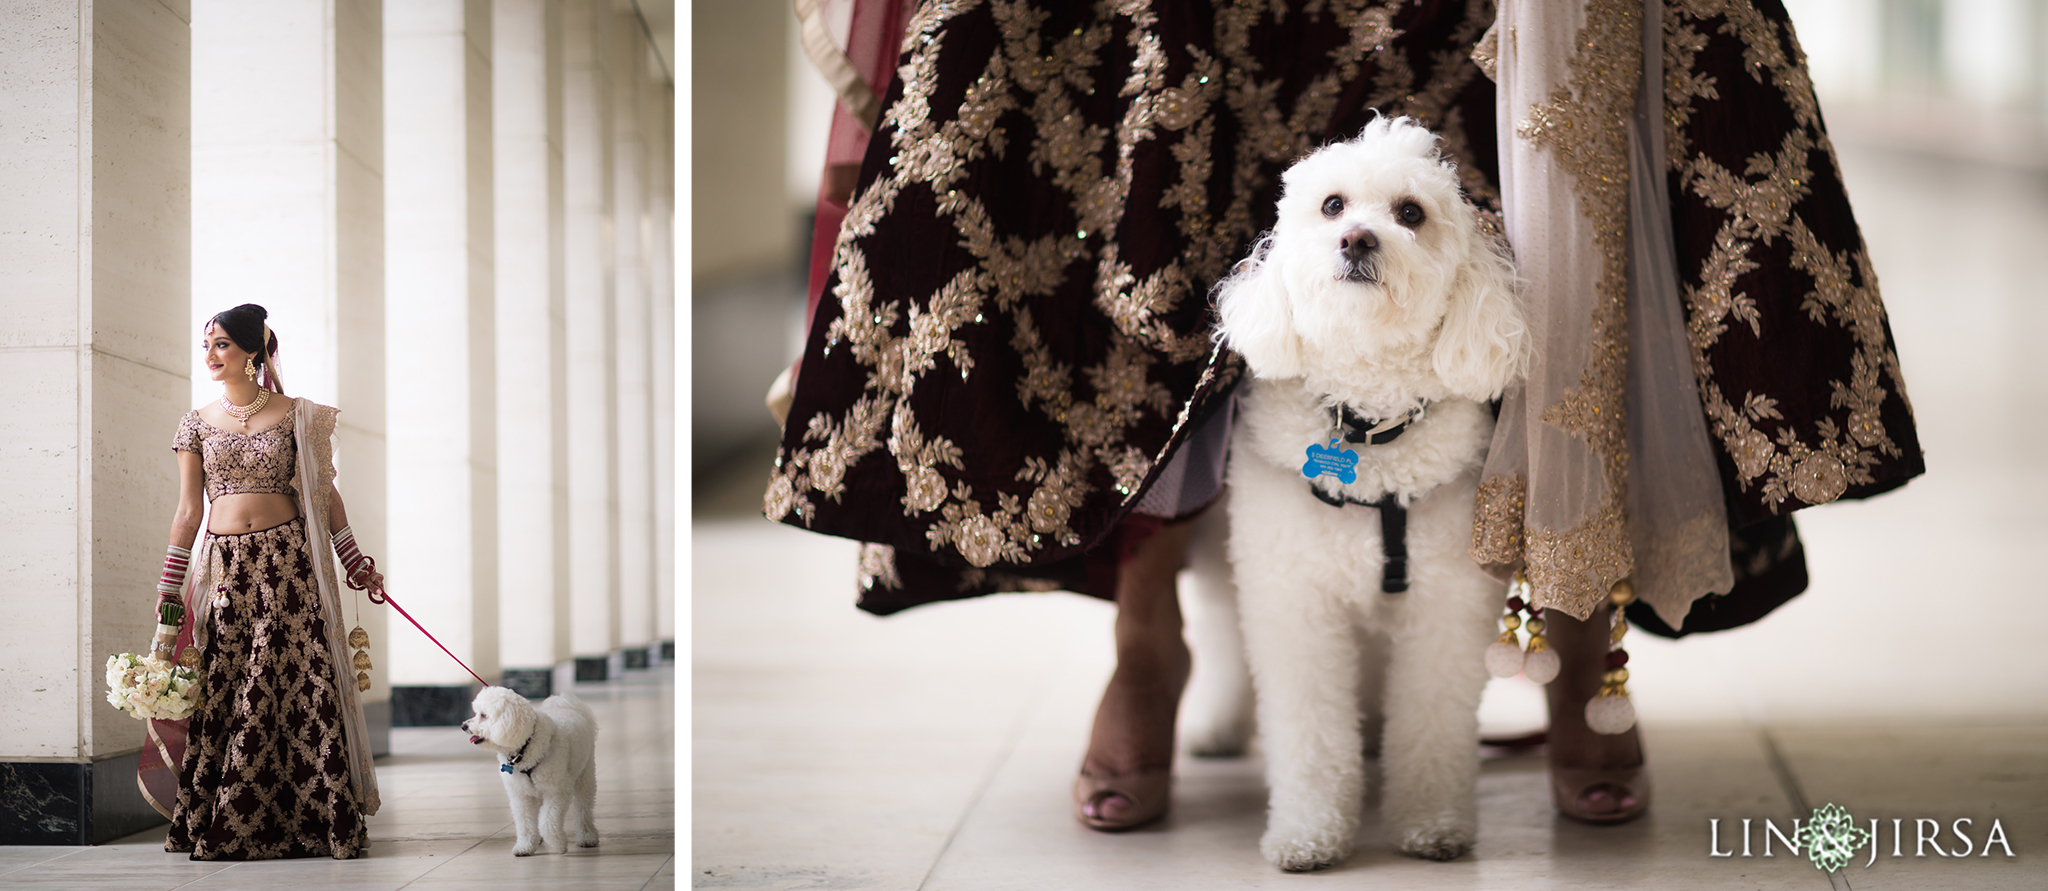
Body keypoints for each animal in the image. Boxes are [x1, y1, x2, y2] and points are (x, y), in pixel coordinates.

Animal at [468, 688, 606, 856]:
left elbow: (548, 821)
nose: (463, 725)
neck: (526, 747)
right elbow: (524, 822)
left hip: (585, 774)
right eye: (476, 713)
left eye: (483, 715)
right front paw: (525, 845)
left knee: (583, 807)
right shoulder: (521, 794)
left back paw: (587, 836)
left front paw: (557, 844)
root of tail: (565, 704)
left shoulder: (557, 791)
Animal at [1212, 113, 1523, 872]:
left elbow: (1433, 724)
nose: (1357, 239)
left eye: (1411, 213)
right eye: (1332, 205)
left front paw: (1434, 823)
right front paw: (1306, 835)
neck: (1368, 430)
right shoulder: (1293, 600)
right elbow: (1310, 733)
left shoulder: (1447, 607)